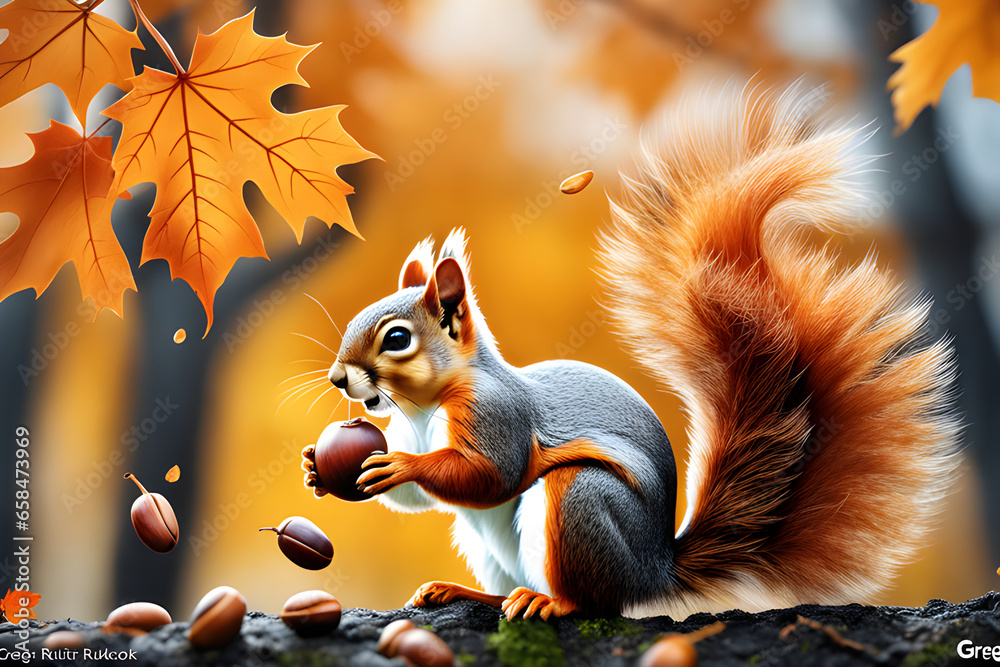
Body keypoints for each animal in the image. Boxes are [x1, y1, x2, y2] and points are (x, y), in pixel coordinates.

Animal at [302, 84, 959, 621]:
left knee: (595, 599)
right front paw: (319, 464)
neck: (424, 407)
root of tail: (653, 572)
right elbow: (416, 501)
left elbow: (490, 474)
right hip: (491, 549)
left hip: (581, 504)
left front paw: (404, 466)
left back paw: (549, 602)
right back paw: (466, 593)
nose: (337, 379)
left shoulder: (495, 413)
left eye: (397, 339)